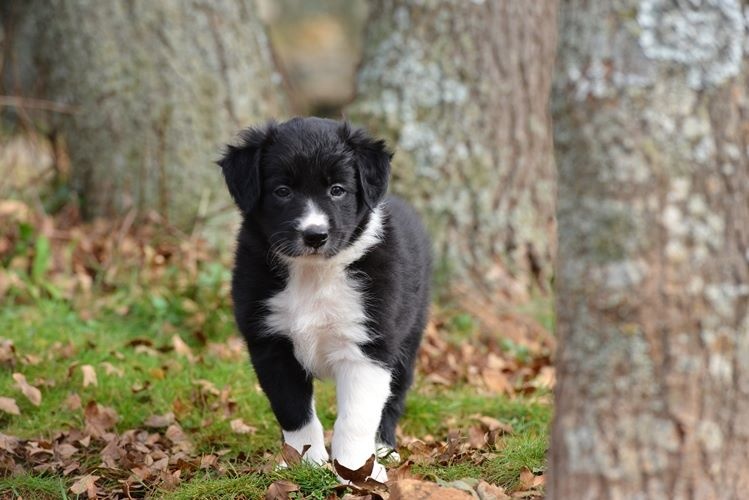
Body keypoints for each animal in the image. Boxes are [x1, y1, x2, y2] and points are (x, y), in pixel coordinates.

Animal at [219, 116, 430, 480]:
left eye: (337, 190)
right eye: (282, 191)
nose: (315, 235)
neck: (313, 275)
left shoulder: (369, 347)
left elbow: (355, 419)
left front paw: (356, 473)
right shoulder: (271, 345)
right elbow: (294, 412)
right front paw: (306, 464)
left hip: (408, 339)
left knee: (394, 398)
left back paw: (384, 450)